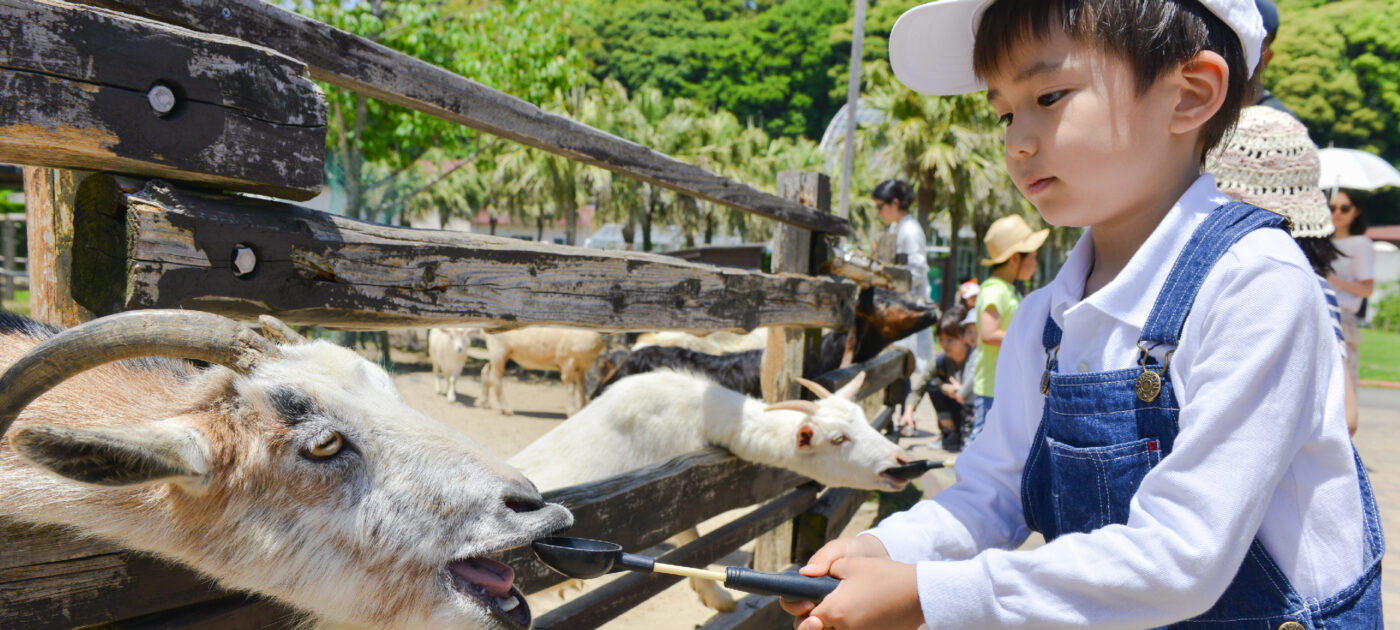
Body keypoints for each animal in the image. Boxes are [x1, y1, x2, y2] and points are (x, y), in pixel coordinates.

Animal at [477, 327, 605, 416]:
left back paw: (484, 403)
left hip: (497, 353)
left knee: (485, 371)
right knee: (495, 379)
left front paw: (583, 408)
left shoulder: (581, 367)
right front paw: (572, 411)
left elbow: (581, 388)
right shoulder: (567, 360)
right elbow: (571, 389)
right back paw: (506, 409)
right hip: (499, 349)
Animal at [509, 369, 909, 611]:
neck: (698, 410)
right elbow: (690, 539)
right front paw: (718, 597)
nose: (901, 463)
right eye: (838, 438)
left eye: (862, 418)